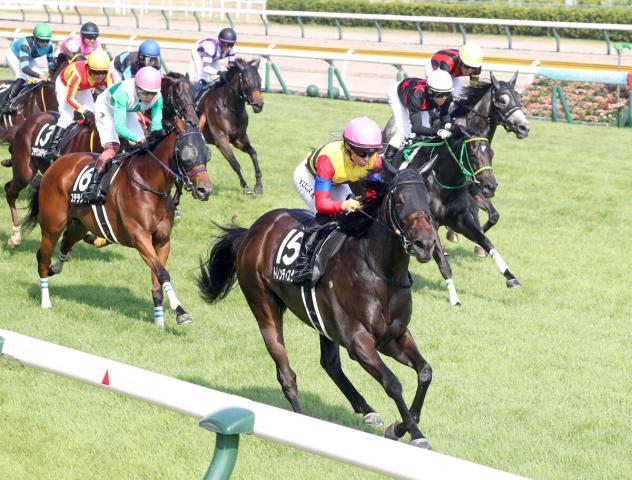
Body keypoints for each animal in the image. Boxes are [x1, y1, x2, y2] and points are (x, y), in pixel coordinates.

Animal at [23, 72, 214, 326]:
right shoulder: (139, 238)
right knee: (43, 257)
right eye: (187, 153)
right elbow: (163, 272)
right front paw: (180, 311)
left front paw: (160, 319)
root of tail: (57, 164)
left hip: (80, 225)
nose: (205, 190)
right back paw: (46, 300)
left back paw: (56, 268)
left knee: (64, 245)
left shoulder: (162, 241)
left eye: (207, 153)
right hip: (52, 224)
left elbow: (158, 278)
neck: (150, 185)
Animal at [199, 57, 266, 195]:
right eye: (245, 80)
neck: (229, 107)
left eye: (260, 79)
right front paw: (245, 186)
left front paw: (258, 186)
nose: (259, 105)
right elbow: (235, 163)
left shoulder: (239, 138)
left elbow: (253, 153)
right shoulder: (221, 139)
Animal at [200, 168, 436, 446]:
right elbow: (393, 382)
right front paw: (412, 432)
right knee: (286, 372)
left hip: (323, 322)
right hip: (263, 306)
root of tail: (251, 233)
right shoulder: (358, 341)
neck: (380, 271)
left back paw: (366, 410)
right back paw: (304, 420)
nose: (425, 243)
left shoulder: (393, 336)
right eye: (398, 200)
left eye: (427, 199)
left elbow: (425, 372)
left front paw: (403, 426)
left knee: (329, 363)